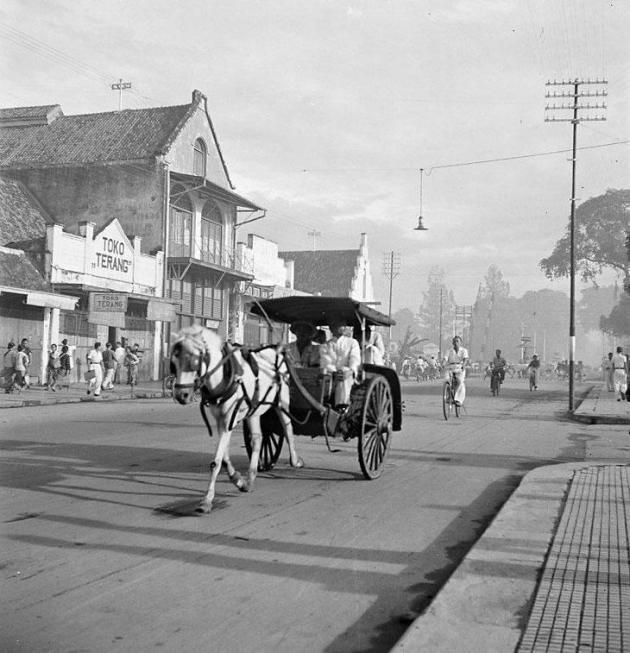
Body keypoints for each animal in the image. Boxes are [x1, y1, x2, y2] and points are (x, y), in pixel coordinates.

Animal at [170, 326, 304, 516]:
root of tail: (276, 351)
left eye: (194, 361)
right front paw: (238, 480)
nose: (182, 395)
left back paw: (295, 460)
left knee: (288, 429)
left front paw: (207, 501)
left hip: (281, 400)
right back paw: (251, 477)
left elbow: (216, 462)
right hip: (254, 410)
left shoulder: (229, 420)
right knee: (258, 439)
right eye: (173, 363)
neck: (223, 375)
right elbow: (224, 459)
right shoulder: (220, 420)